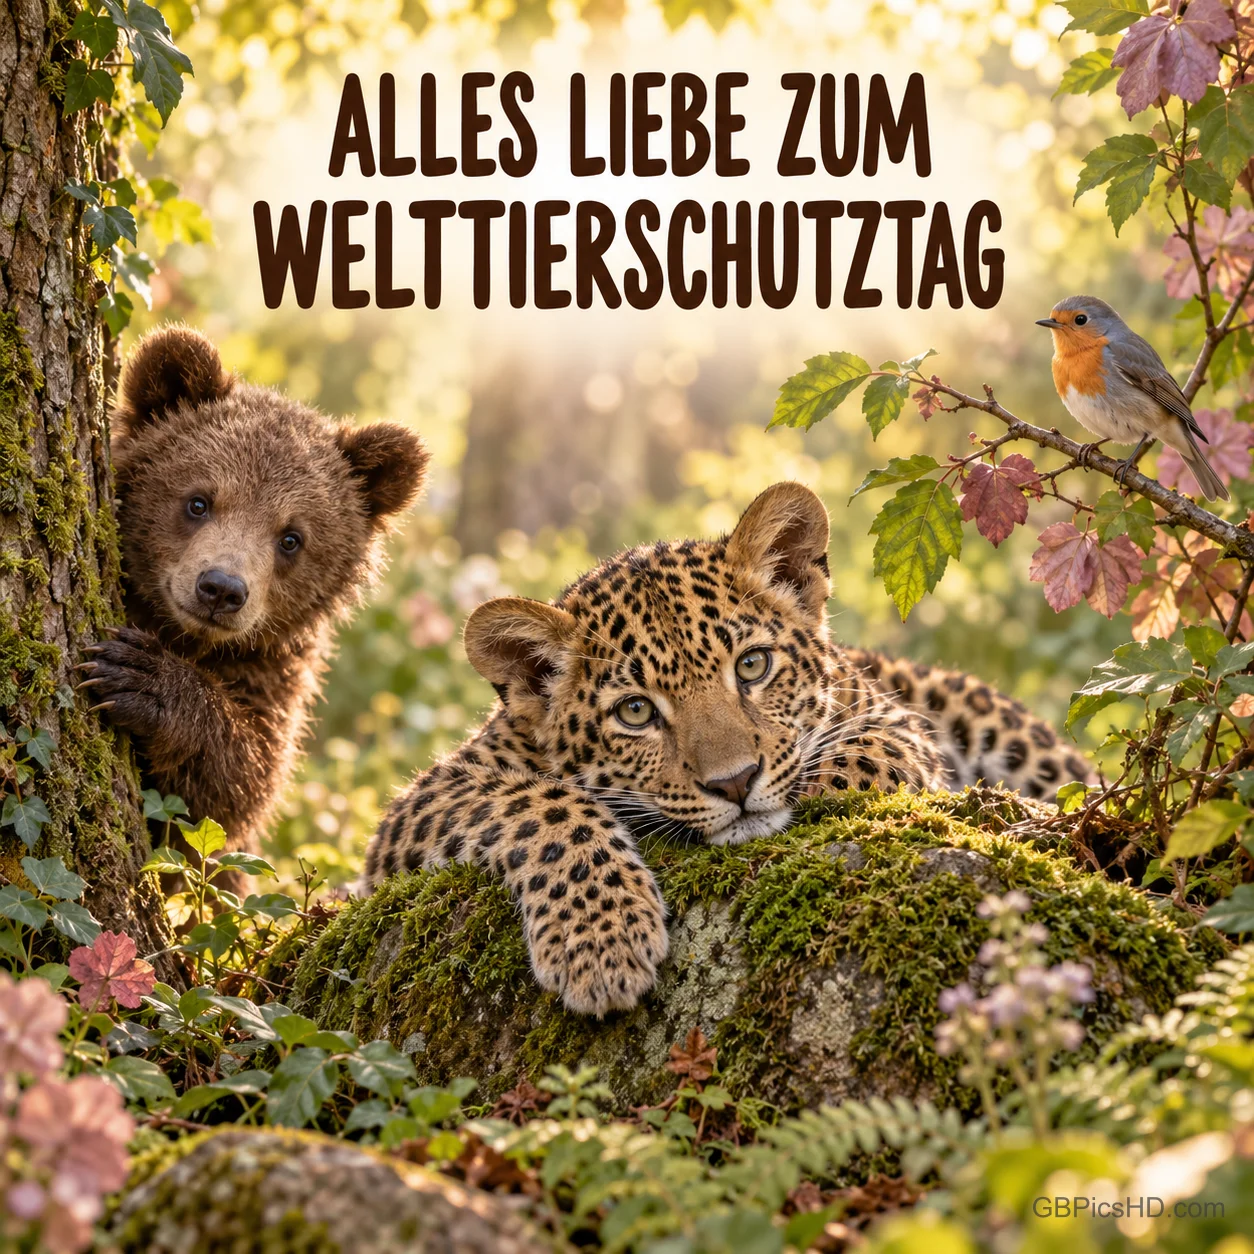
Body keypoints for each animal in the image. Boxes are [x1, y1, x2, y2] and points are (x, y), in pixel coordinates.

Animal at [364, 482, 1093, 1016]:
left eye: (752, 666)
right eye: (635, 712)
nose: (735, 783)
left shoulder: (892, 718)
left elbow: (870, 753)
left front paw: (818, 793)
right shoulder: (416, 813)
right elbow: (537, 803)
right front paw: (600, 945)